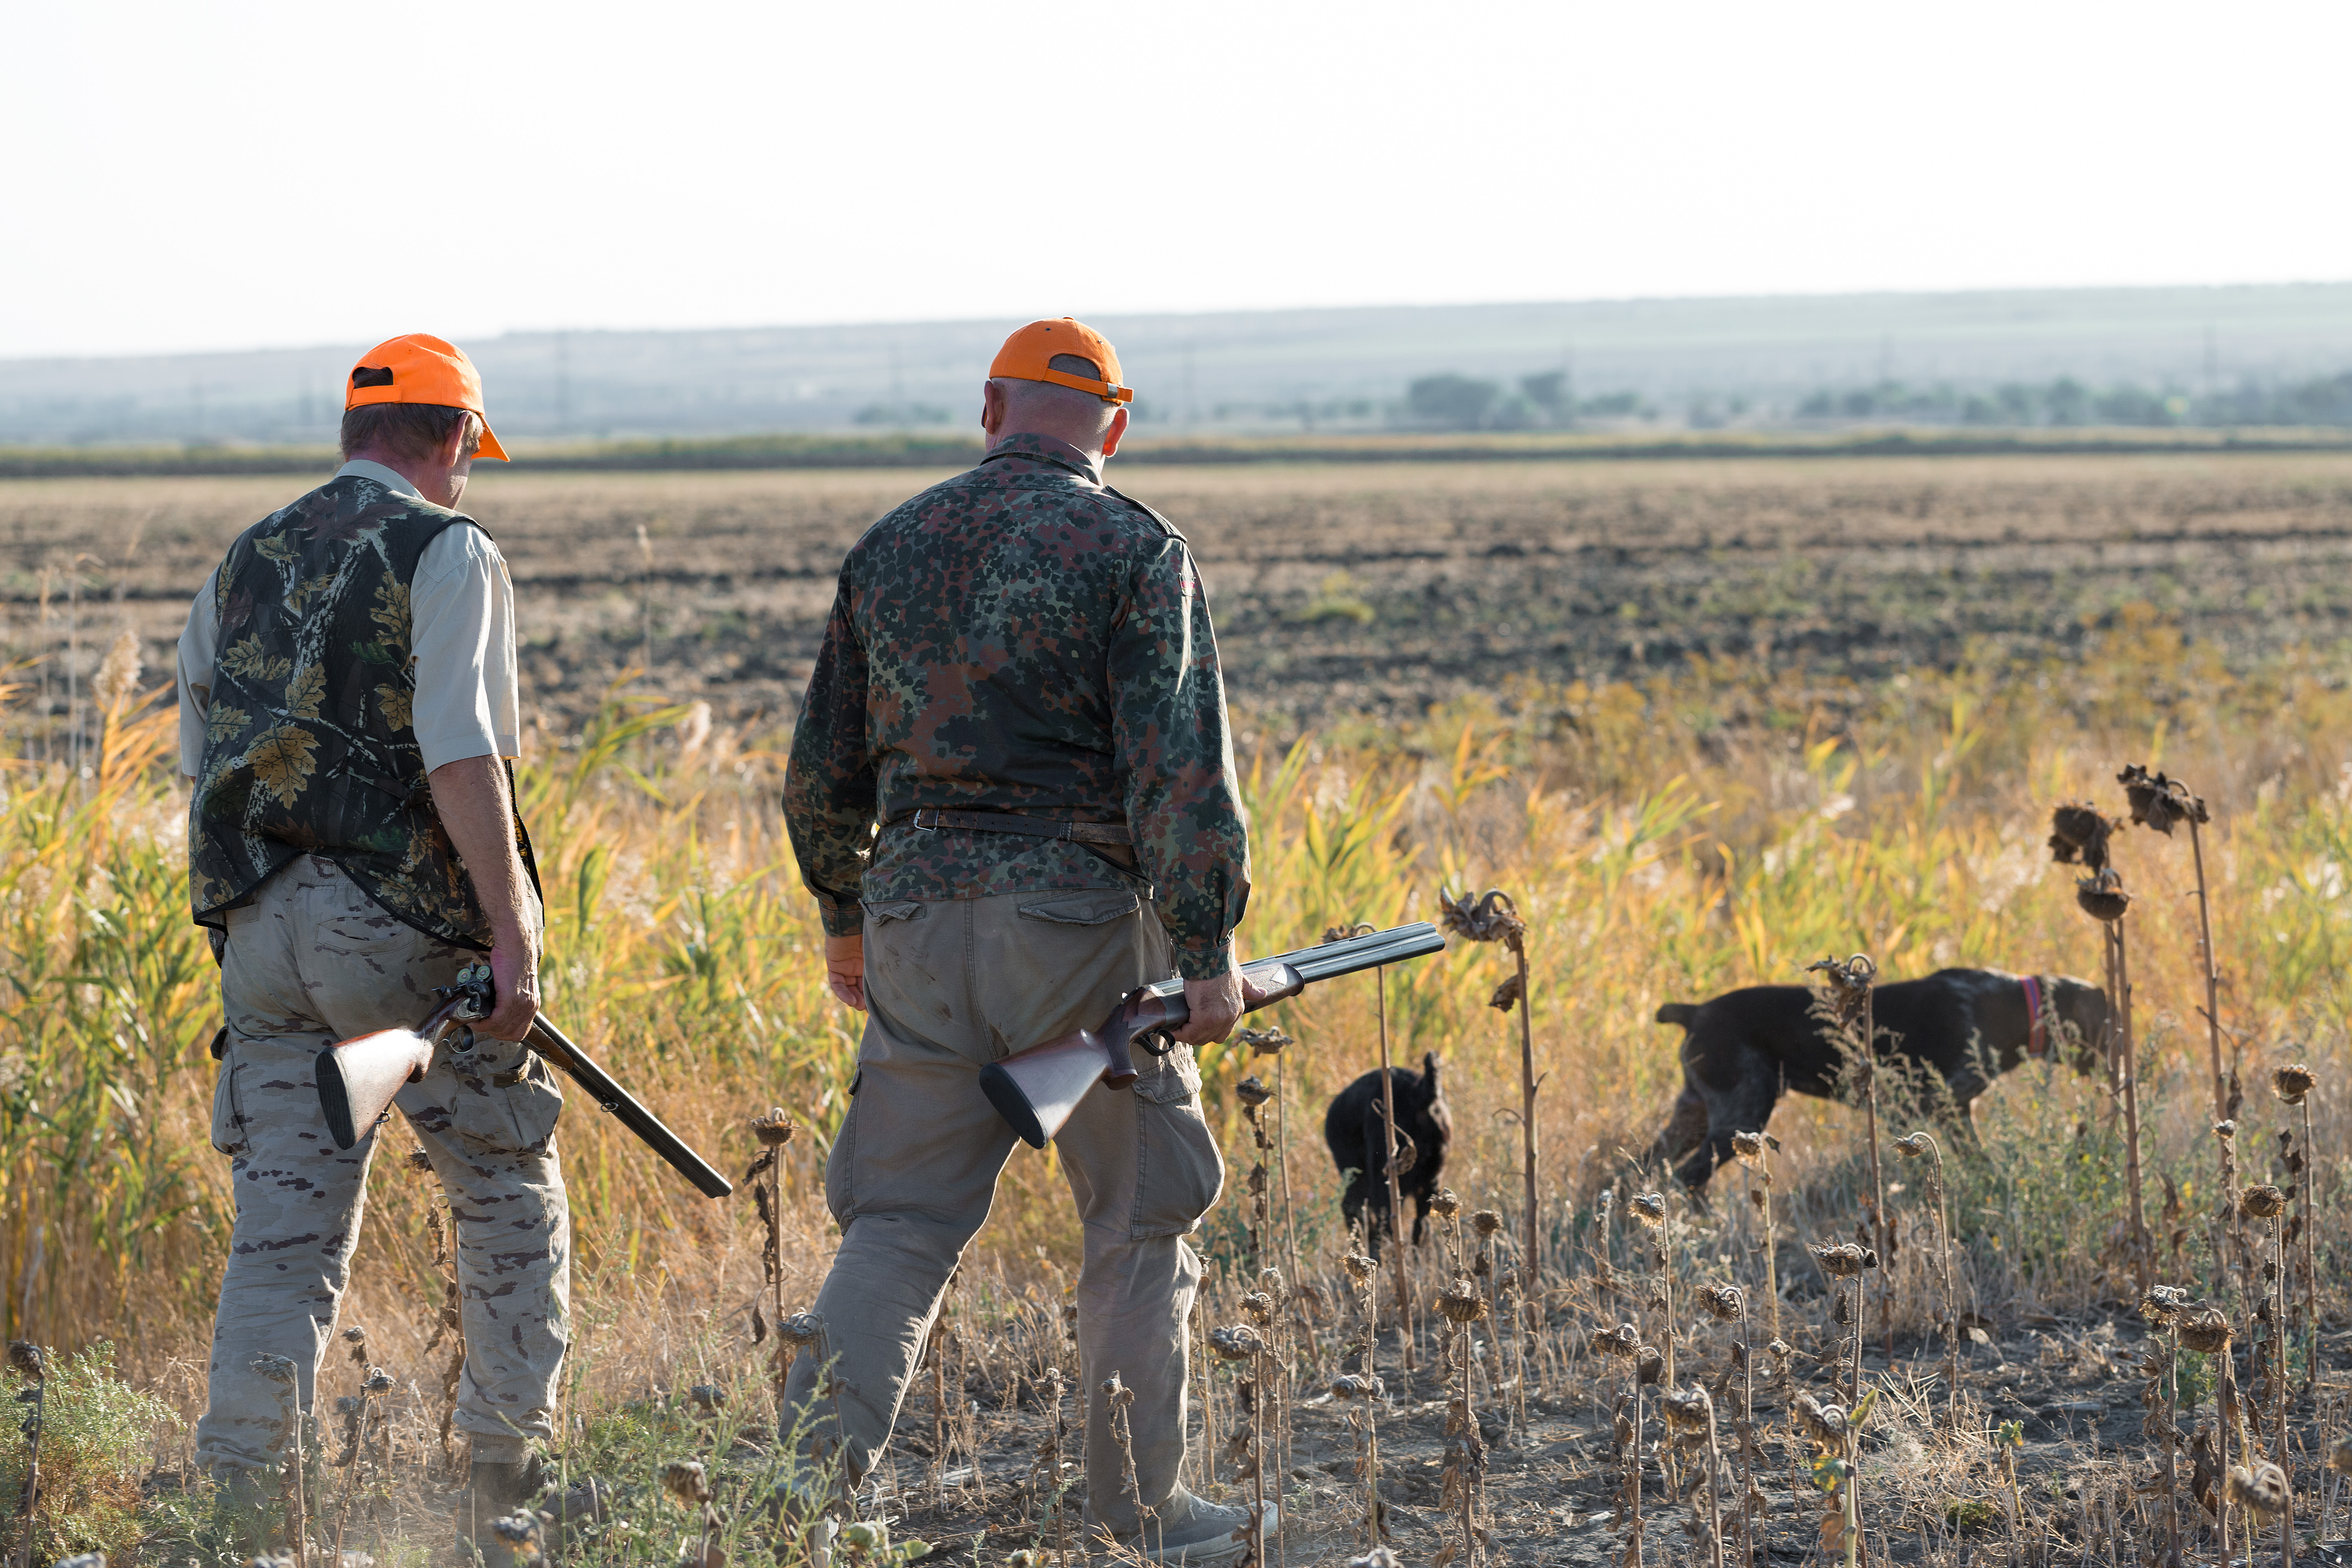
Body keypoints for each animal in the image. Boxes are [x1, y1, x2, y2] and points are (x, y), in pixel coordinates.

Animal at [1646, 968, 2107, 1189]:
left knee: (1649, 1169)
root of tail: (1694, 1011)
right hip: (1743, 1115)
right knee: (1689, 1179)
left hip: (1694, 1115)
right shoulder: (1948, 1108)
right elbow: (1979, 1162)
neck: (2006, 1003)